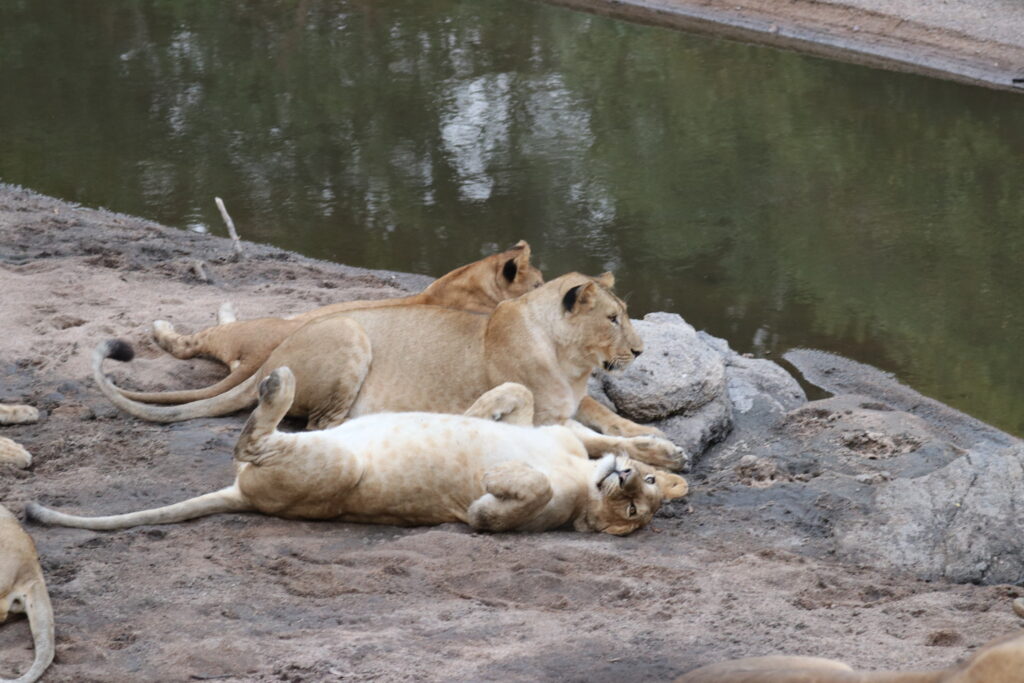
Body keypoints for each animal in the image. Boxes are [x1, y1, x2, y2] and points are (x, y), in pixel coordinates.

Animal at [28, 370, 688, 536]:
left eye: (633, 513)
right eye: (645, 492)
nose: (627, 481)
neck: (581, 471)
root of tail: (243, 497)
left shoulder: (546, 510)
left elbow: (519, 499)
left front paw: (488, 495)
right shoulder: (559, 434)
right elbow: (520, 396)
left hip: (335, 468)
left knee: (252, 440)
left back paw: (278, 385)